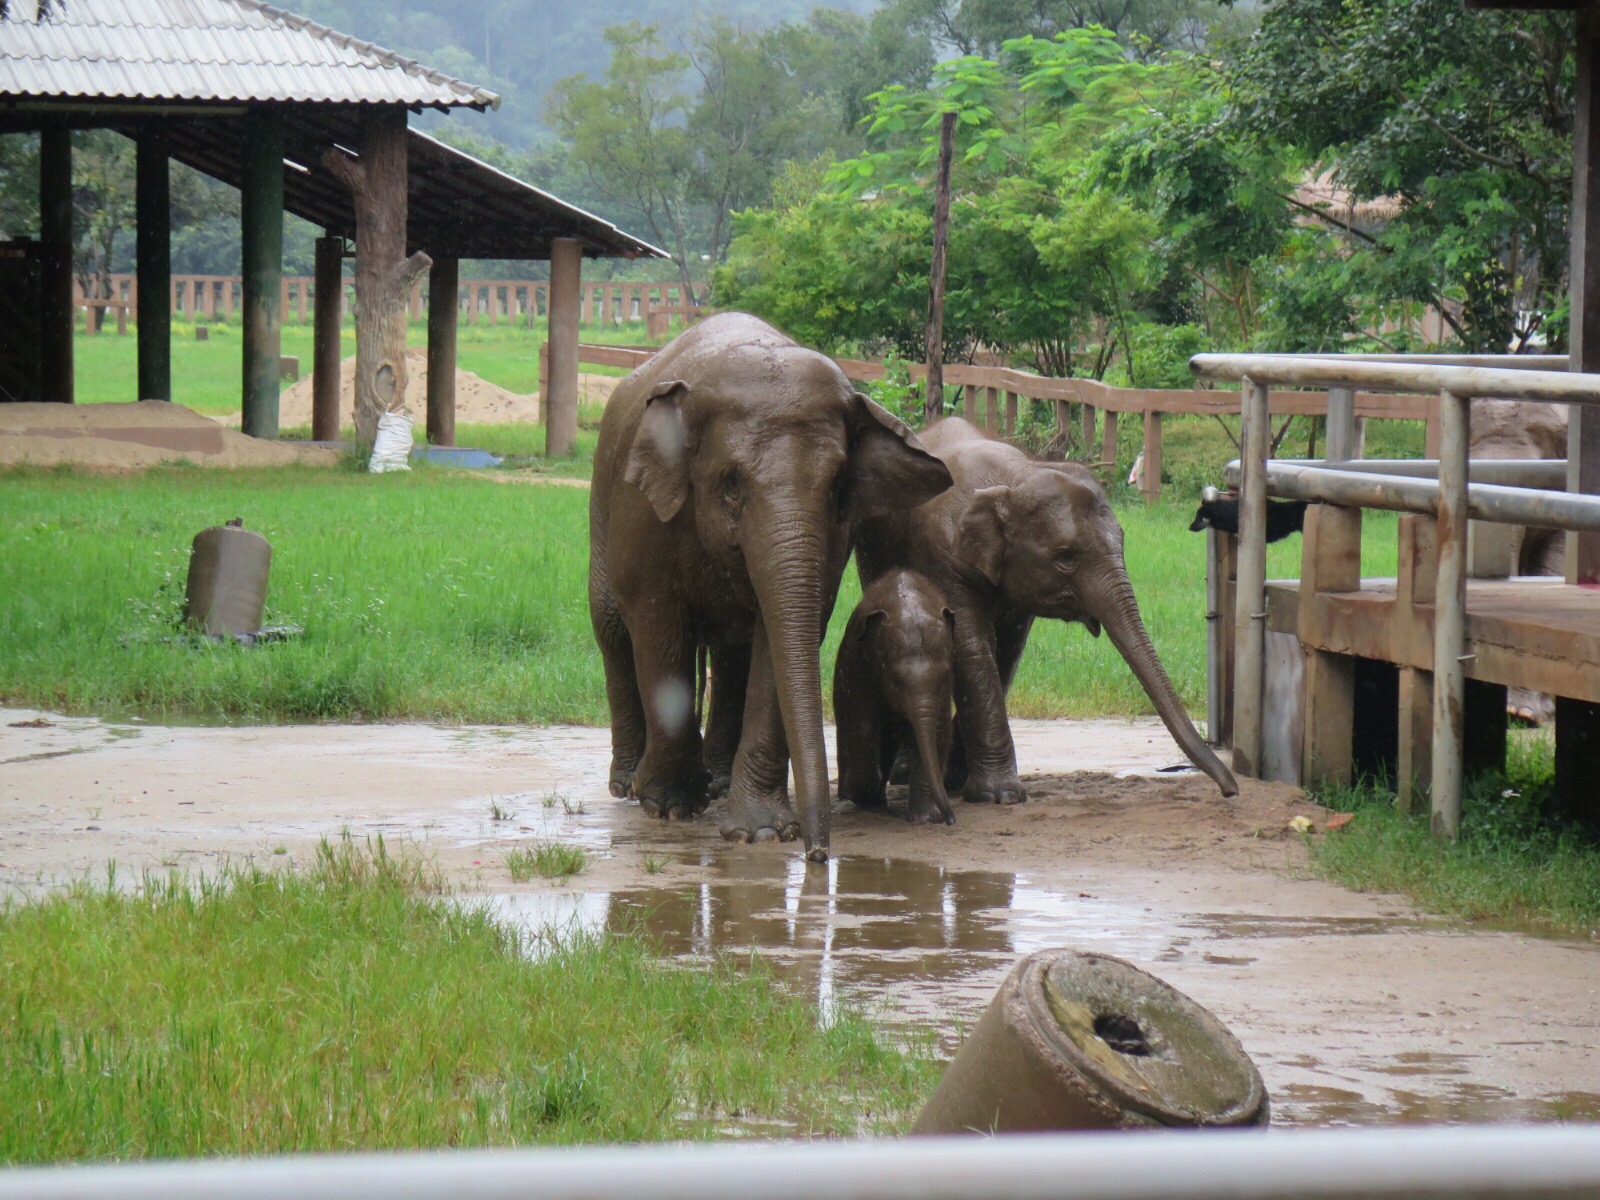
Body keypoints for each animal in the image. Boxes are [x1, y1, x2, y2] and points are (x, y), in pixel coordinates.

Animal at [834, 569, 957, 826]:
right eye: (895, 681)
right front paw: (863, 794)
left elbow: (938, 729)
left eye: (942, 679)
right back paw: (855, 795)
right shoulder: (860, 664)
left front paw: (924, 819)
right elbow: (864, 725)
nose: (950, 820)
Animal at [853, 417, 1238, 804]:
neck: (1015, 477)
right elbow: (971, 647)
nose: (1230, 791)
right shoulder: (943, 556)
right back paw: (905, 775)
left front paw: (961, 784)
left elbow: (1006, 651)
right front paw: (1000, 796)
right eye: (1065, 556)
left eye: (1123, 541)